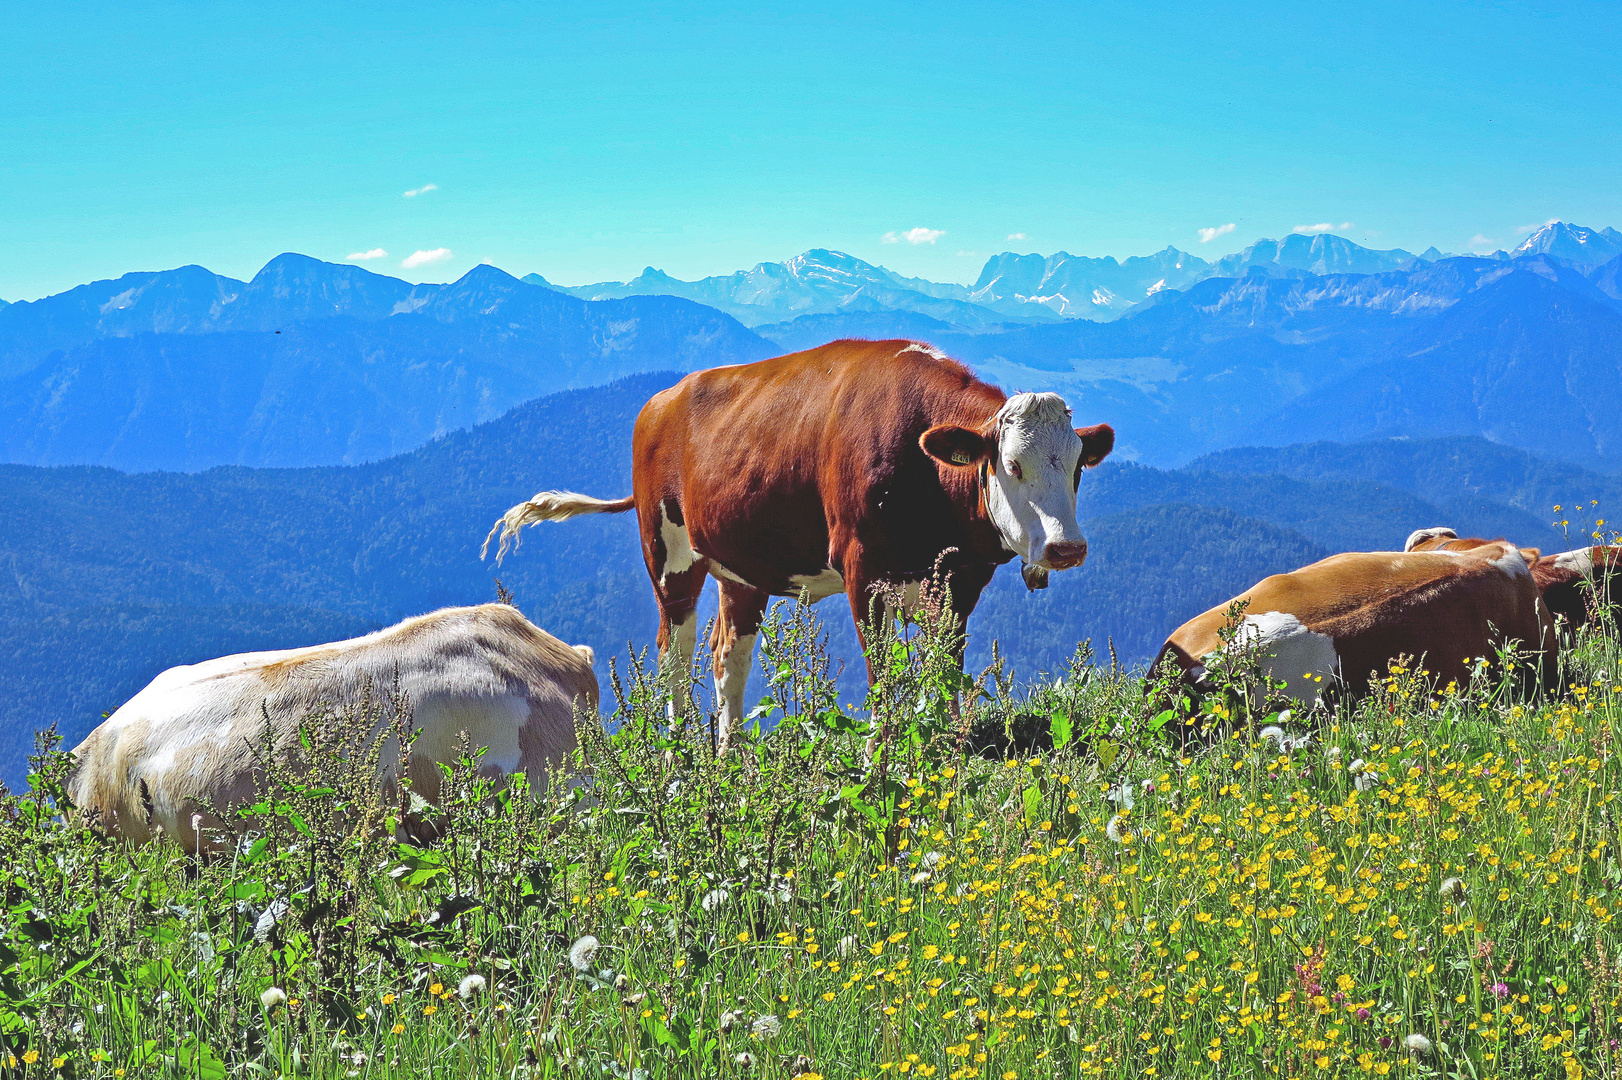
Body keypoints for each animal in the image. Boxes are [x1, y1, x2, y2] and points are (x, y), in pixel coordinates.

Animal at [483, 337, 1115, 749]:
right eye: (1012, 464)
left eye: (1077, 467)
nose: (1066, 548)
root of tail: (660, 401)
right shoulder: (865, 572)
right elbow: (883, 679)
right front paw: (880, 759)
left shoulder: (960, 581)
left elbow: (945, 672)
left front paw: (948, 752)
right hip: (669, 557)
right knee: (673, 656)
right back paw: (678, 763)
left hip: (740, 569)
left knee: (728, 658)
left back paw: (731, 761)